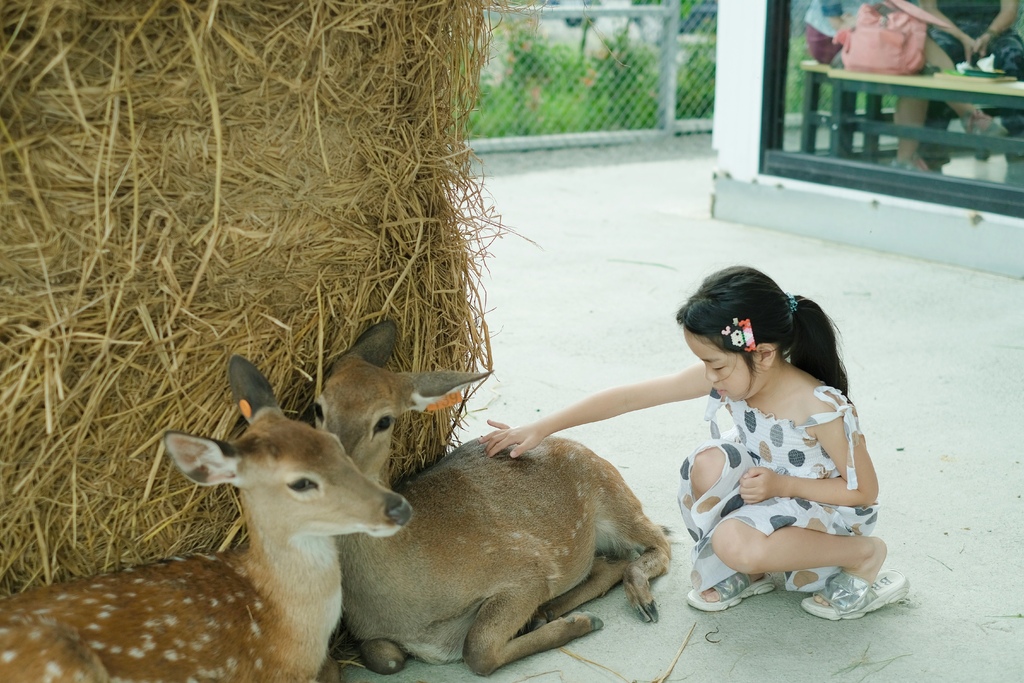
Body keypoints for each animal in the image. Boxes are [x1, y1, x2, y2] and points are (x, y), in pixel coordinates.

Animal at [311, 323, 671, 675]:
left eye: (384, 420)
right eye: (318, 406)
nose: (327, 465)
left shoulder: (528, 569)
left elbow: (477, 651)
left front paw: (583, 623)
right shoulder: (368, 634)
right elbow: (386, 658)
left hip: (613, 497)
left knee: (658, 544)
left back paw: (637, 601)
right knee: (610, 562)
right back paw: (547, 612)